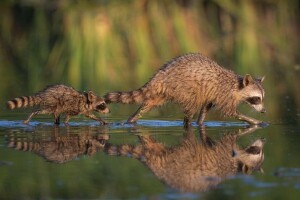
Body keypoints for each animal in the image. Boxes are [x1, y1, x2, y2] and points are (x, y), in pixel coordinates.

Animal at [105, 52, 264, 126]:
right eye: (257, 98)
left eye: (262, 98)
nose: (263, 111)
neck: (237, 86)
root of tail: (161, 75)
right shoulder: (225, 94)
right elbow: (230, 112)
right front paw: (254, 121)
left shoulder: (212, 94)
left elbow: (205, 108)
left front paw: (201, 121)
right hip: (183, 88)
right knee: (190, 108)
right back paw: (187, 123)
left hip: (163, 92)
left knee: (148, 104)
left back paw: (132, 119)